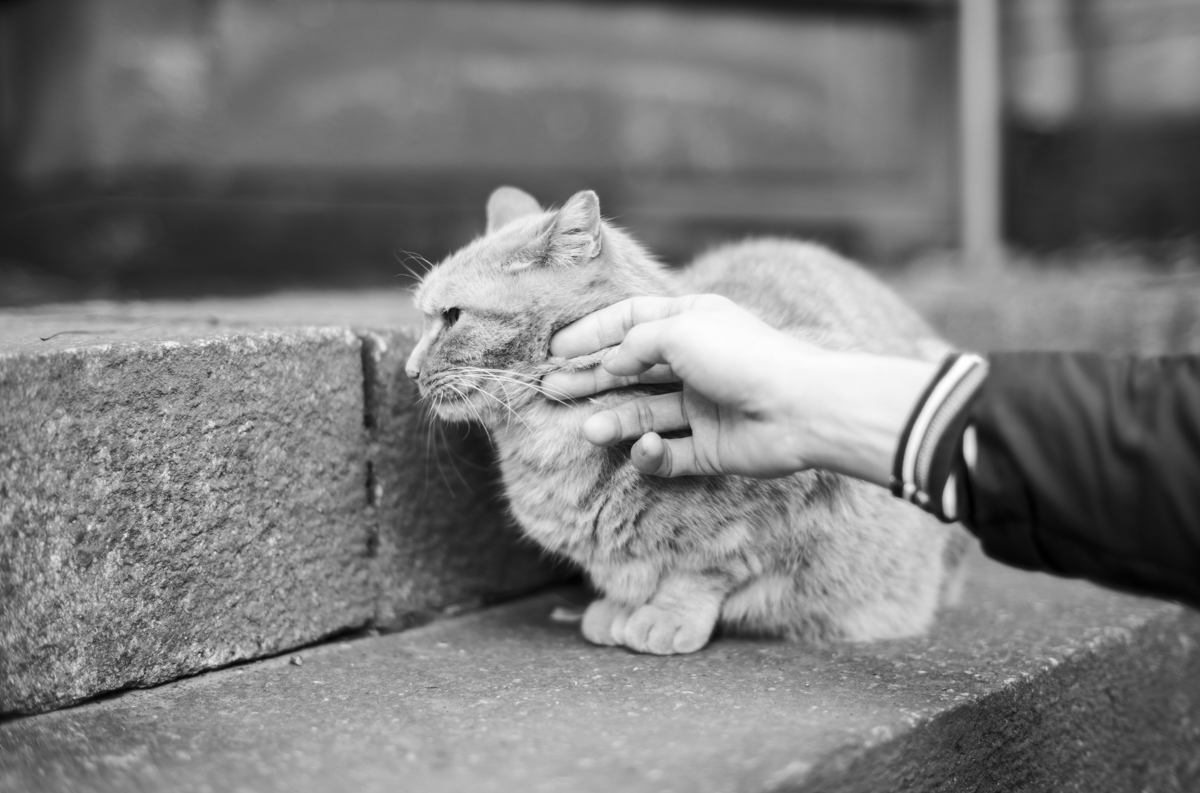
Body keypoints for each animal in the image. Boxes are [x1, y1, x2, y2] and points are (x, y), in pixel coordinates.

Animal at [408, 187, 969, 657]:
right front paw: (619, 607)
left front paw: (666, 616)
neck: (549, 448)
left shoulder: (778, 510)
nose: (409, 370)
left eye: (452, 316)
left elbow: (707, 569)